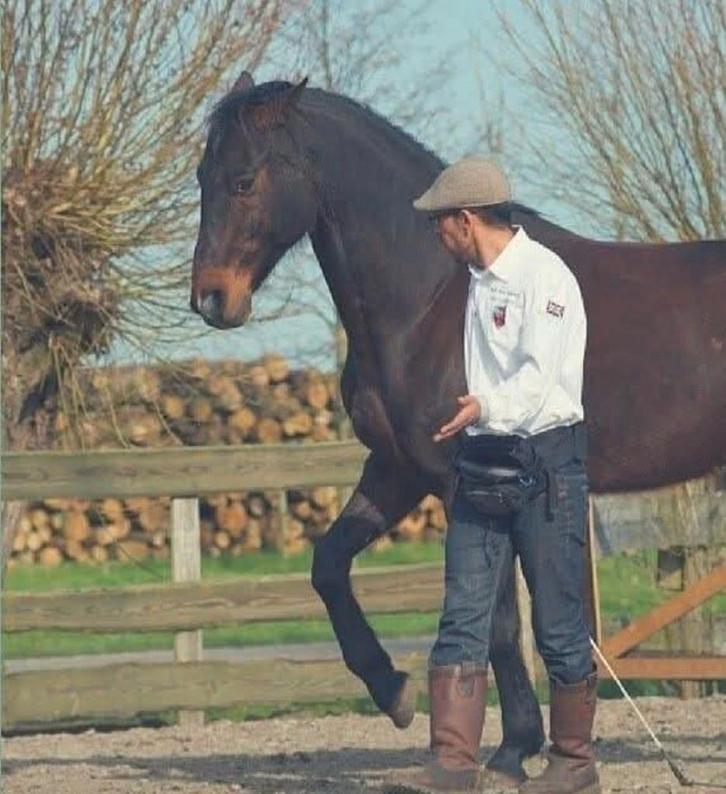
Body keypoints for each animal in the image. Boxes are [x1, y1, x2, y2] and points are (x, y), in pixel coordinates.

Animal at [191, 73, 726, 783]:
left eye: (245, 181)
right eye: (202, 177)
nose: (209, 299)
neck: (432, 297)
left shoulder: (466, 482)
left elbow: (496, 624)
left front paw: (511, 749)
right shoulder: (397, 470)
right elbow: (329, 565)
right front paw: (393, 691)